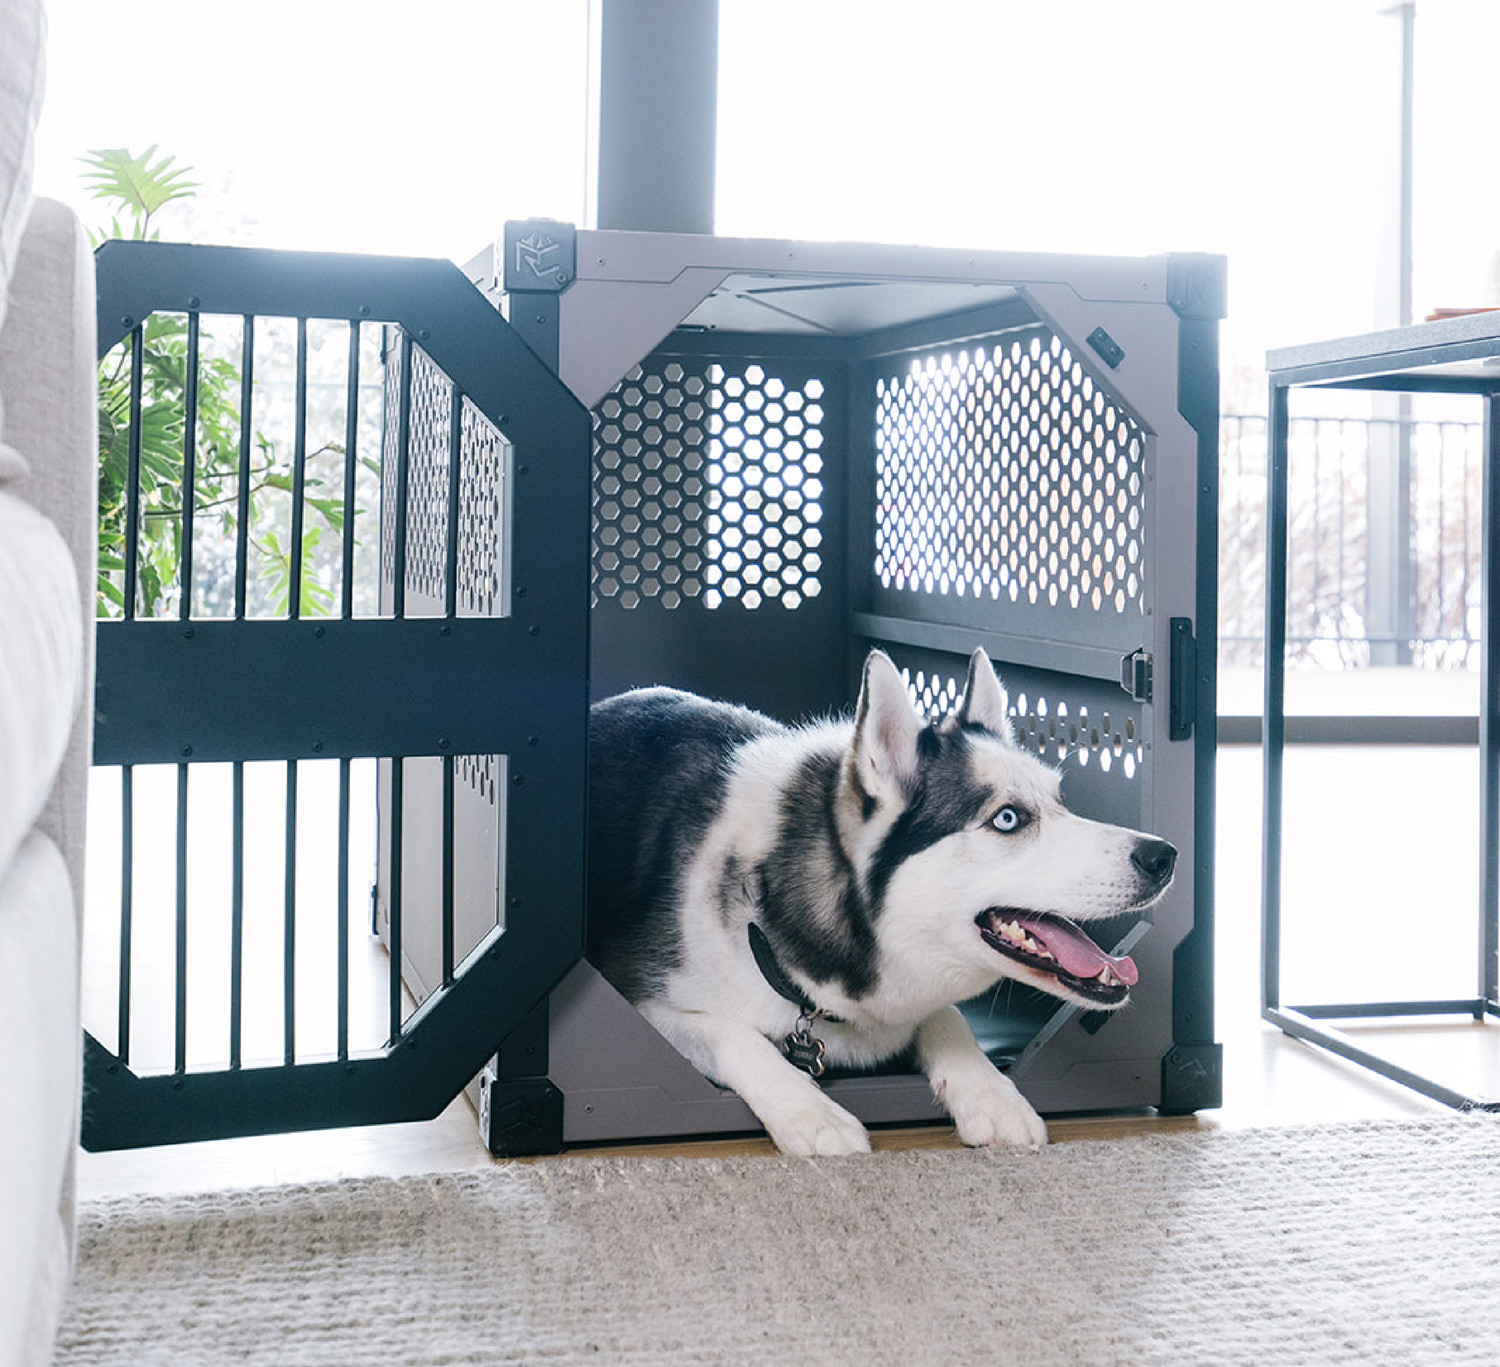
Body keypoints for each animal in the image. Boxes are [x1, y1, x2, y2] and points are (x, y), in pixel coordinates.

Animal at [579, 648, 1176, 1152]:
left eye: (1060, 802)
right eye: (1008, 818)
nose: (1164, 856)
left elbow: (946, 1014)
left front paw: (990, 1094)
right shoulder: (646, 1001)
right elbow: (736, 1034)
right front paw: (809, 1113)